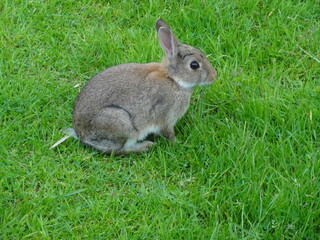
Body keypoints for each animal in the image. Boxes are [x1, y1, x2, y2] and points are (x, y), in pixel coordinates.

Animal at [72, 19, 218, 154]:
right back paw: (146, 146)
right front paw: (177, 143)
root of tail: (81, 135)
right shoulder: (166, 118)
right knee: (122, 149)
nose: (214, 76)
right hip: (121, 123)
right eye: (194, 65)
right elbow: (168, 133)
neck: (173, 79)